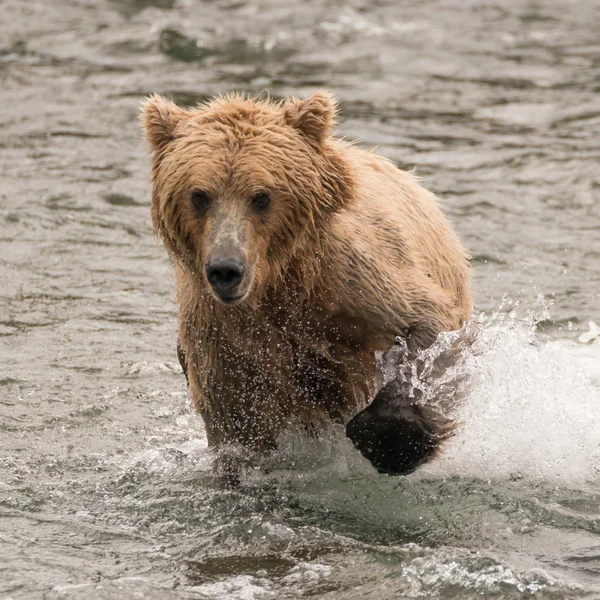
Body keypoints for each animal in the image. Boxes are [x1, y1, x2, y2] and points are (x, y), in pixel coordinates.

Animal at [143, 91, 472, 476]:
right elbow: (237, 421)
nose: (226, 269)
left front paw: (393, 440)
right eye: (199, 195)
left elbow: (429, 327)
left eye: (262, 196)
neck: (276, 286)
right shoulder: (220, 335)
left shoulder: (353, 280)